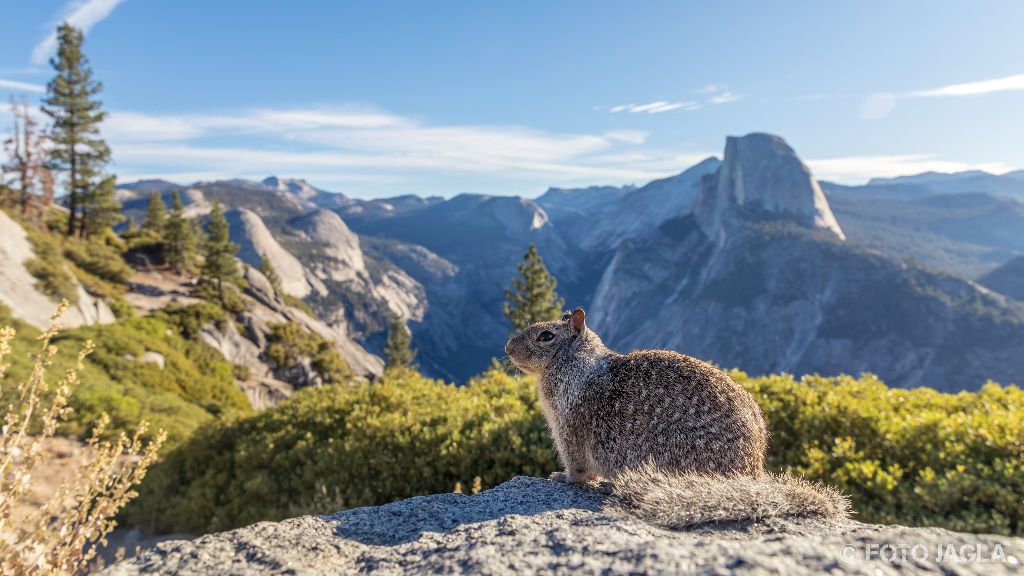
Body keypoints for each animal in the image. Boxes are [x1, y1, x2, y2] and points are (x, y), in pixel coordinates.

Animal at [503, 307, 847, 528]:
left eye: (545, 336)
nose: (506, 347)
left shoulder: (569, 428)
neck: (573, 362)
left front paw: (560, 477)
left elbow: (577, 467)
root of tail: (752, 471)